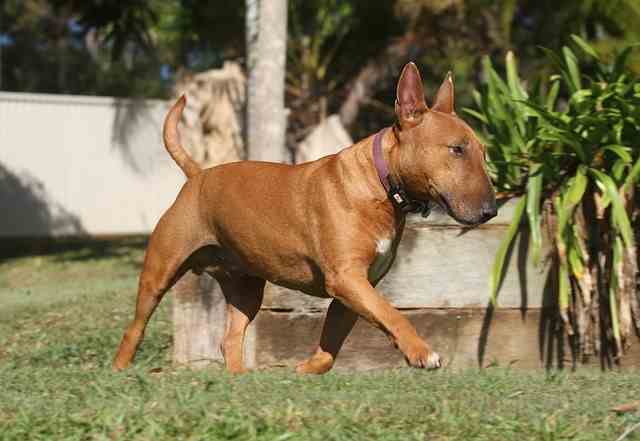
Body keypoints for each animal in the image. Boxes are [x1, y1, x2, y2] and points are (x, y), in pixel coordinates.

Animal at [112, 61, 498, 372]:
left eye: (482, 152)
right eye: (456, 150)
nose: (491, 211)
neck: (380, 183)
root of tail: (198, 175)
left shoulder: (355, 291)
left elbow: (330, 350)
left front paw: (303, 369)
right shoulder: (346, 280)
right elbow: (392, 314)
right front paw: (421, 352)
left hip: (246, 288)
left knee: (230, 338)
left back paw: (240, 381)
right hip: (159, 271)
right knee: (135, 328)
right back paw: (119, 371)